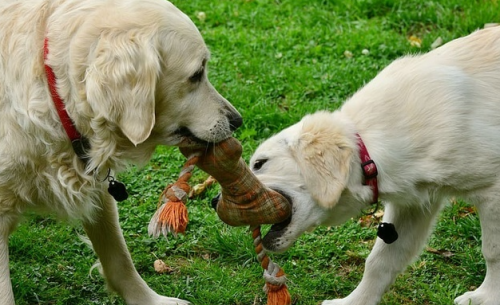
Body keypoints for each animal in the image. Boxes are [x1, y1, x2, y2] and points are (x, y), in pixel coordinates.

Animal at [0, 0, 242, 302]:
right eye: (196, 74)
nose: (237, 120)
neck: (53, 91)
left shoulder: (98, 186)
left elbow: (119, 259)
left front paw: (150, 300)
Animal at [252, 26, 500, 304]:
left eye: (260, 163)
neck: (370, 148)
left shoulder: (494, 192)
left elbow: (493, 251)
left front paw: (487, 297)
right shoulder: (413, 206)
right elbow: (380, 261)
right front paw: (354, 301)